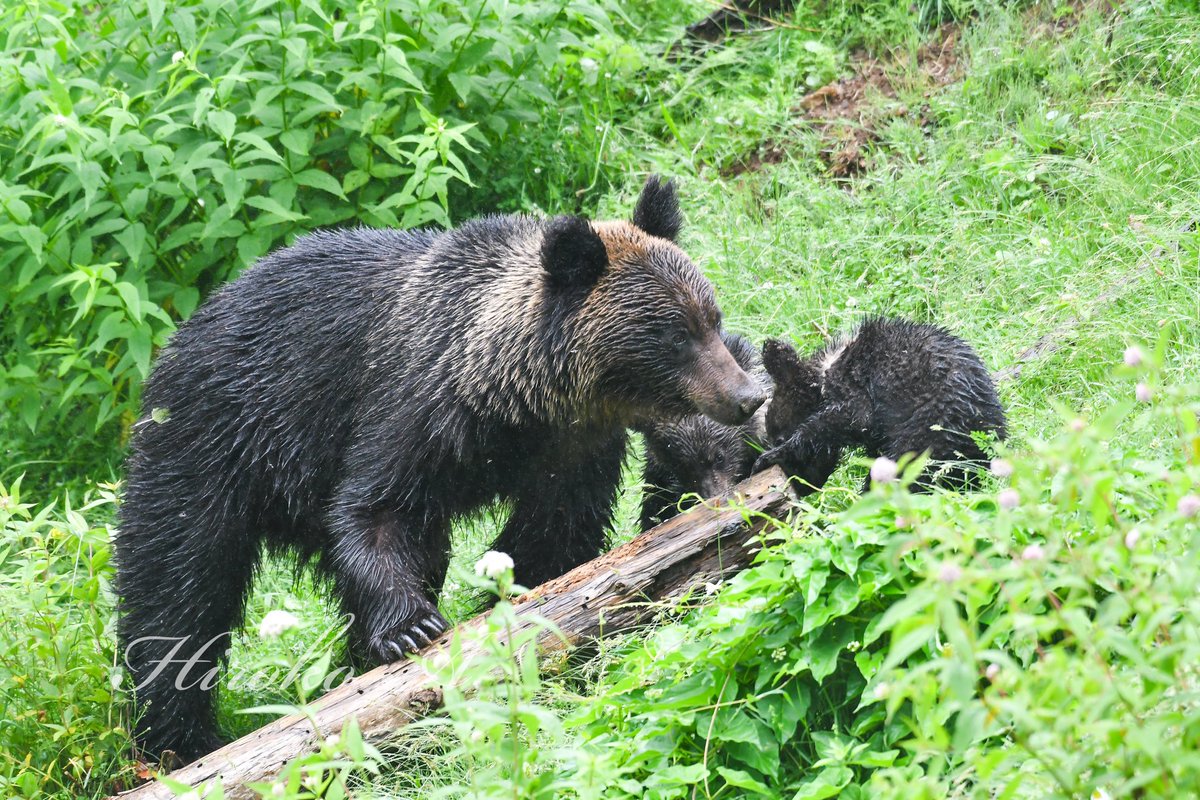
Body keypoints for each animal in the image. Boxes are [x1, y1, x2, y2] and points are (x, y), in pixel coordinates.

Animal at [753, 317, 1006, 494]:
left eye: (778, 436)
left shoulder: (853, 393)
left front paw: (772, 455)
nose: (803, 488)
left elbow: (847, 419)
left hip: (925, 437)